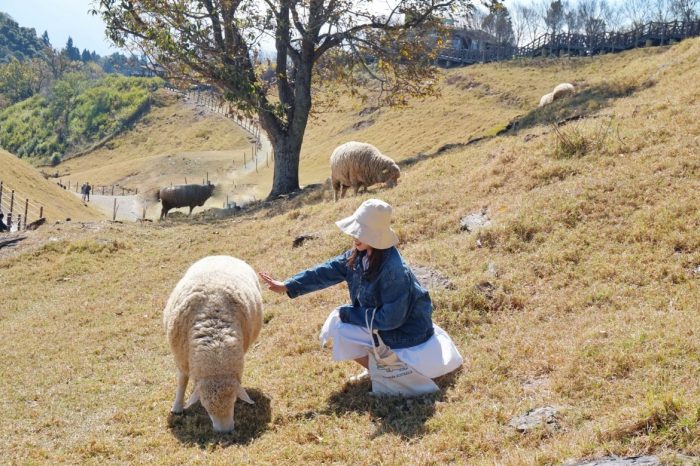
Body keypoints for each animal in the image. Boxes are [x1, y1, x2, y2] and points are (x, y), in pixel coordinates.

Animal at [163, 255, 262, 434]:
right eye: (204, 407)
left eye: (234, 402)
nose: (225, 432)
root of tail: (221, 255)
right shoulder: (182, 358)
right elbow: (182, 381)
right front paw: (177, 406)